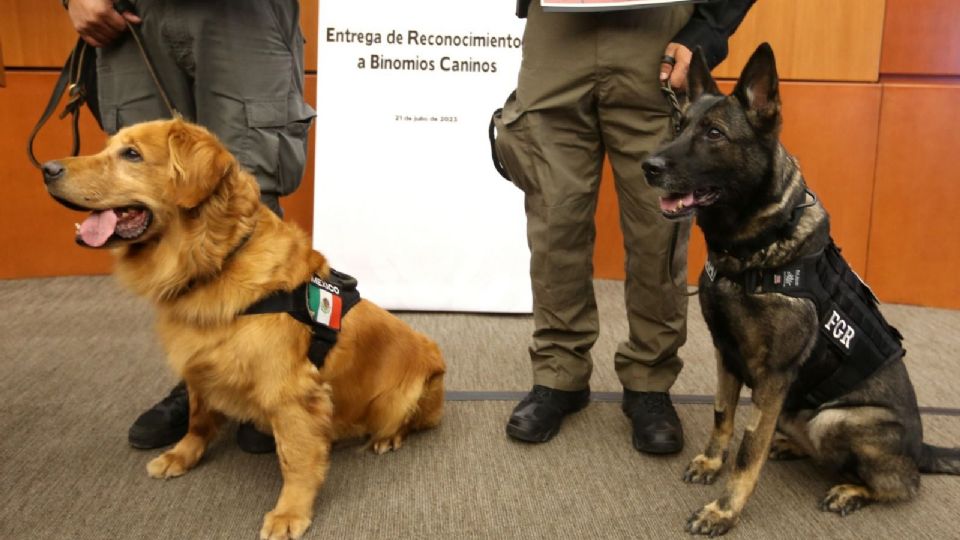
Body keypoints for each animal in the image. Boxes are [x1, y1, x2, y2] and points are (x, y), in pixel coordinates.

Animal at [43, 119, 448, 540]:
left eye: (132, 154)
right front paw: (182, 455)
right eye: (110, 147)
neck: (216, 262)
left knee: (408, 422)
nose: (47, 169)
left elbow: (296, 459)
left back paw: (387, 438)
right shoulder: (200, 364)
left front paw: (290, 512)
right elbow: (198, 419)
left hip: (404, 396)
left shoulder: (291, 391)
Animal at [640, 43, 960, 536]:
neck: (753, 250)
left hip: (836, 417)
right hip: (795, 409)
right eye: (679, 126)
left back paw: (852, 490)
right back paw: (792, 446)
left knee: (903, 484)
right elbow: (723, 416)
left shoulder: (773, 375)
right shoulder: (726, 355)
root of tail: (921, 449)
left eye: (713, 133)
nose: (648, 167)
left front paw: (724, 509)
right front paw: (712, 463)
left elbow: (749, 446)